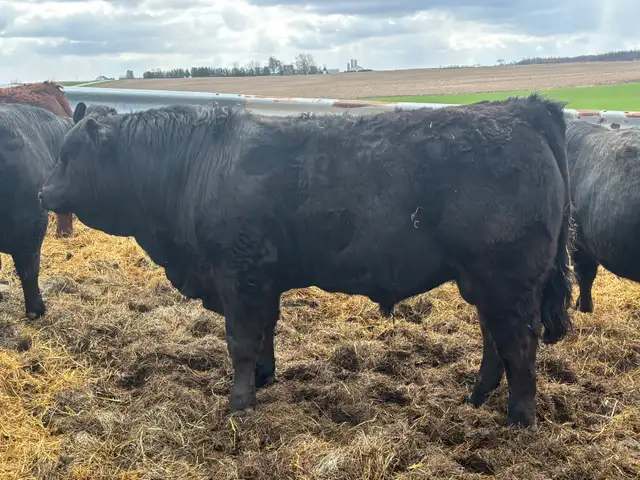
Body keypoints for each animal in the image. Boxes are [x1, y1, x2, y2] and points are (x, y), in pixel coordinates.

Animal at [40, 94, 573, 427]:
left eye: (70, 153)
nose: (44, 192)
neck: (195, 166)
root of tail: (522, 110)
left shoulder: (238, 275)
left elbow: (240, 340)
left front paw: (239, 404)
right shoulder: (261, 279)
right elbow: (264, 333)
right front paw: (263, 378)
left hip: (508, 279)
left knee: (520, 345)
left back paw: (518, 421)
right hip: (484, 280)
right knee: (495, 339)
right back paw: (477, 397)